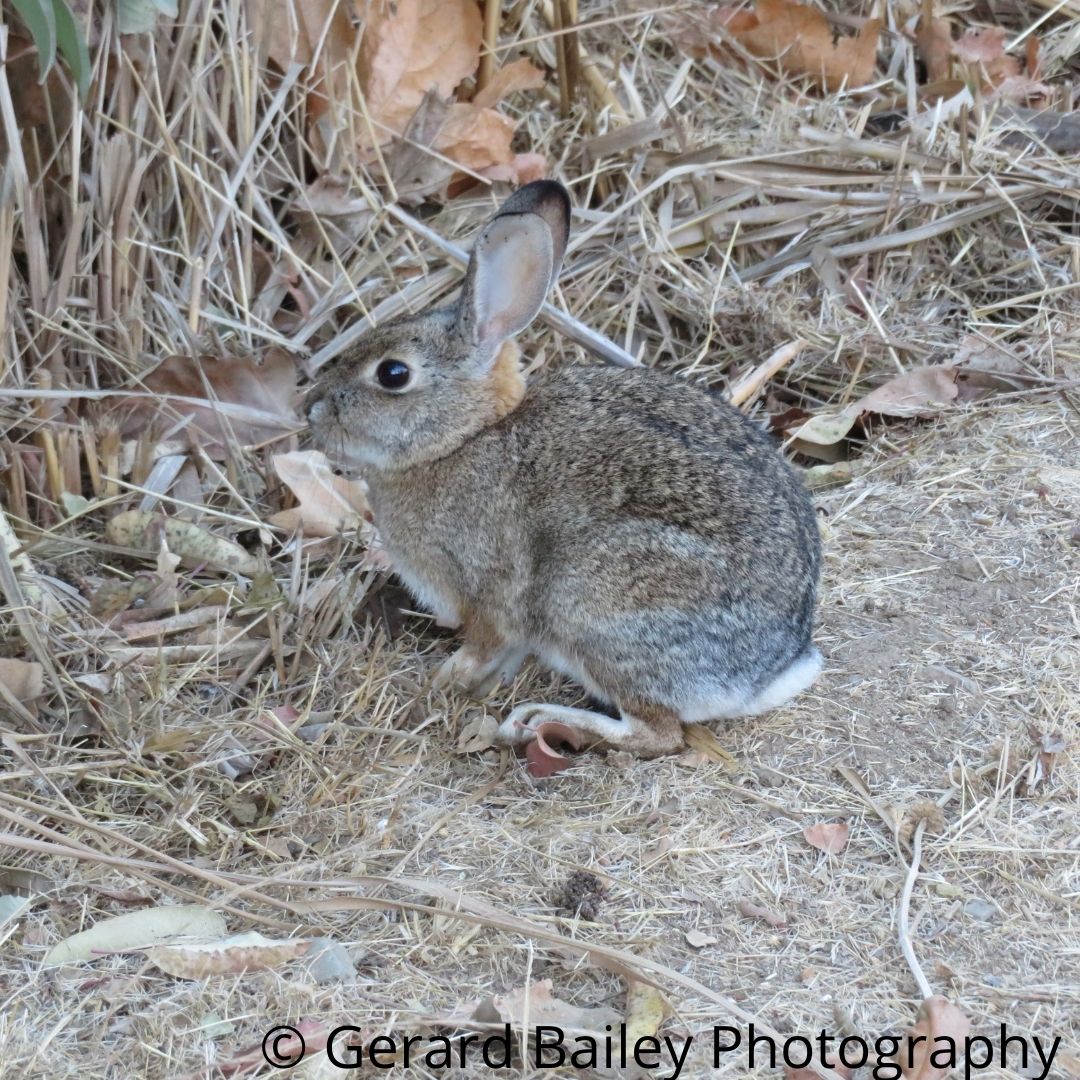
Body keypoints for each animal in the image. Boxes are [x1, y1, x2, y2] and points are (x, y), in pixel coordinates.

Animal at [304, 181, 816, 756]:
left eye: (392, 374)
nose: (311, 408)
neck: (463, 438)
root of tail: (768, 672)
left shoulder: (489, 589)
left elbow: (484, 644)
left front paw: (442, 681)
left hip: (597, 604)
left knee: (657, 733)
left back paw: (541, 720)